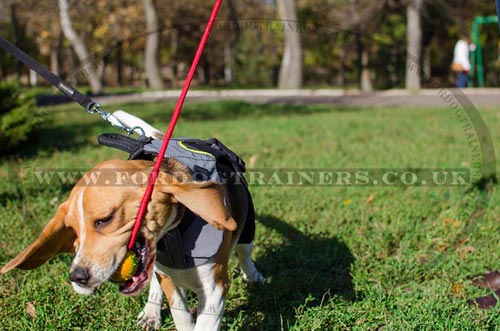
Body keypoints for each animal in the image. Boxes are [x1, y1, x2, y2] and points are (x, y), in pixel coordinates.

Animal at [0, 113, 266, 330]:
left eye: (105, 219)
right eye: (74, 231)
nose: (77, 277)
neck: (174, 234)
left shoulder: (215, 288)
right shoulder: (170, 279)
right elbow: (180, 314)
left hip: (247, 231)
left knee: (244, 254)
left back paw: (253, 277)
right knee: (156, 282)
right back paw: (151, 313)